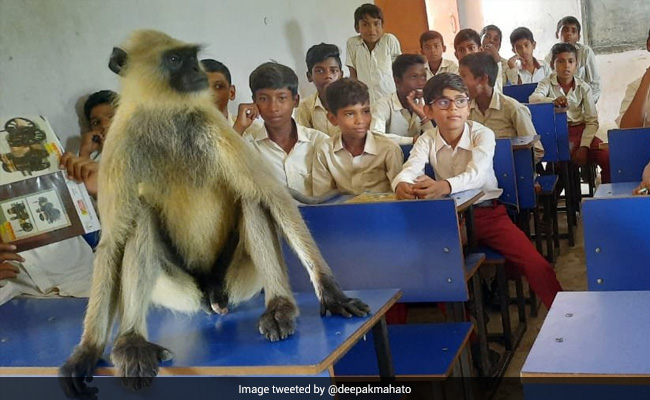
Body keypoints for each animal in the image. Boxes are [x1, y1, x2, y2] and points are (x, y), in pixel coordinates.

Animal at [58, 30, 370, 396]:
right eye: (175, 59)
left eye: (193, 58)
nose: (199, 73)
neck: (165, 116)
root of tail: (209, 289)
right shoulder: (120, 143)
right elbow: (112, 242)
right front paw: (86, 351)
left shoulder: (211, 123)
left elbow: (273, 196)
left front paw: (331, 292)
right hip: (179, 290)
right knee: (140, 220)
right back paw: (132, 341)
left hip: (236, 279)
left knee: (250, 198)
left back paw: (278, 305)